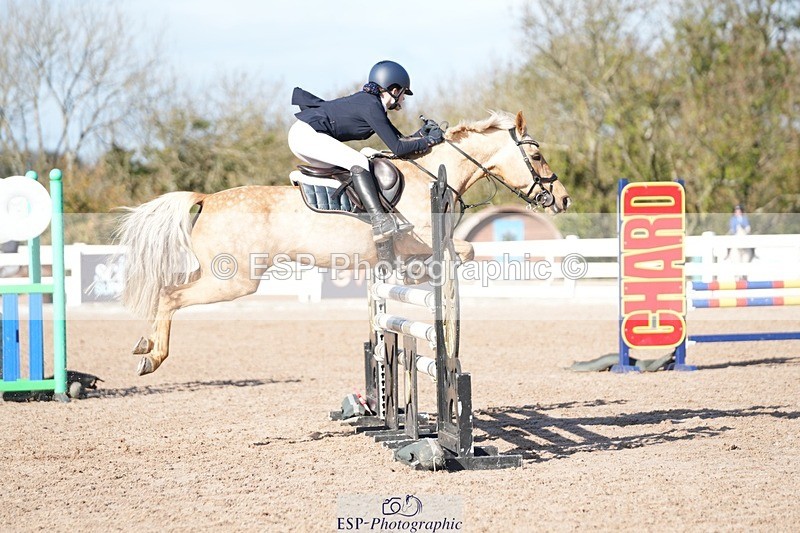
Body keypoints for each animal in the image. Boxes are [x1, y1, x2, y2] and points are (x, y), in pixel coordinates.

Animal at [115, 110, 572, 376]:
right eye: (537, 156)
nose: (562, 198)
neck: (431, 175)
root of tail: (207, 197)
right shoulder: (422, 242)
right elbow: (464, 251)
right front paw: (424, 278)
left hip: (218, 273)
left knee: (168, 290)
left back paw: (145, 343)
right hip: (234, 279)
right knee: (171, 295)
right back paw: (153, 356)